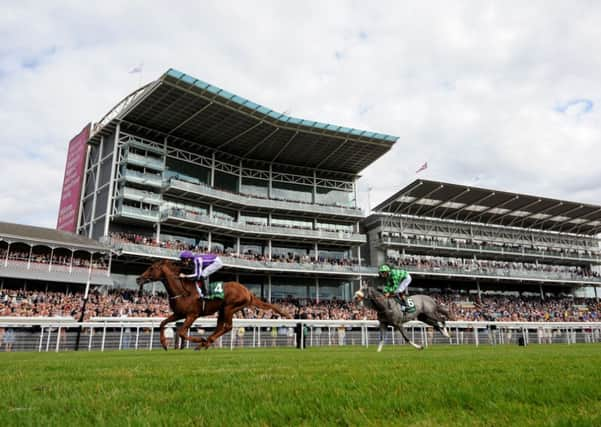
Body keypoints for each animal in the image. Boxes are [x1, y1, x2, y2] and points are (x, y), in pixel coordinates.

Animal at [137, 260, 290, 350]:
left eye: (151, 268)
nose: (138, 279)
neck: (182, 291)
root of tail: (247, 291)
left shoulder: (192, 315)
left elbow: (181, 332)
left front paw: (200, 339)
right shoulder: (178, 314)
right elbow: (162, 323)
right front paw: (163, 344)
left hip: (229, 307)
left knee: (227, 327)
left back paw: (205, 341)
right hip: (222, 310)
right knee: (220, 327)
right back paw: (205, 343)